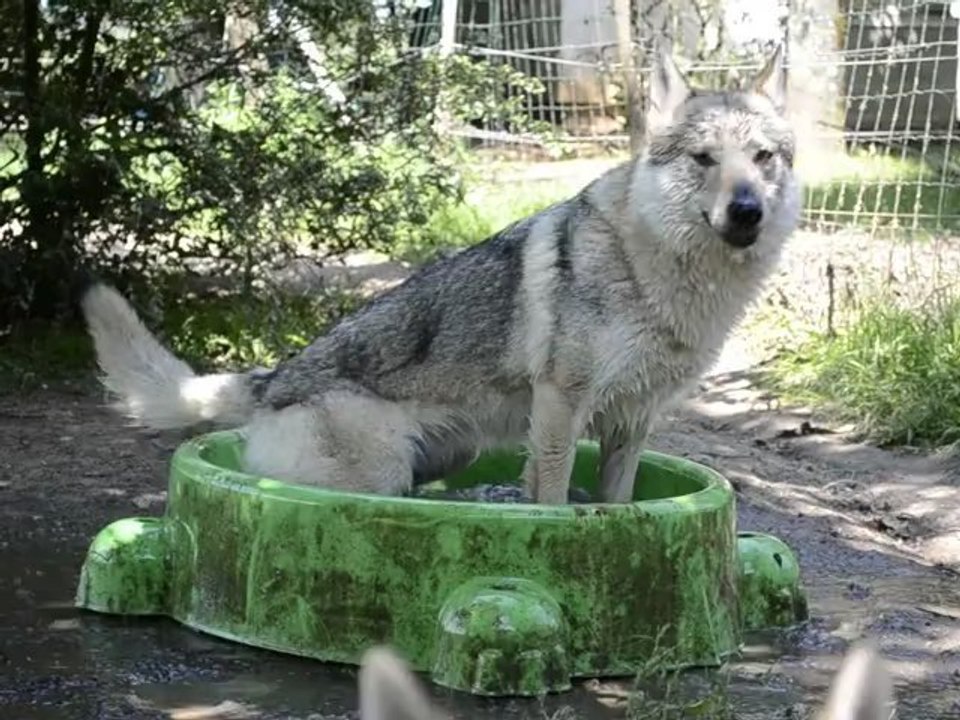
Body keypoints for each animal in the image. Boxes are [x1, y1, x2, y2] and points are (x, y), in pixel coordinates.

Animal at [81, 40, 801, 504]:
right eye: (705, 159)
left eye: (763, 158)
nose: (747, 211)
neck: (660, 269)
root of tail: (274, 378)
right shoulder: (560, 407)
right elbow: (552, 504)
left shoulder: (631, 422)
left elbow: (619, 510)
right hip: (379, 471)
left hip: (452, 452)